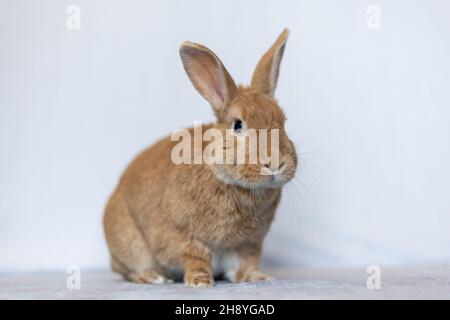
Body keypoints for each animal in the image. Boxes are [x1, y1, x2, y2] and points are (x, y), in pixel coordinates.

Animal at [103, 28, 298, 286]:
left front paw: (258, 278)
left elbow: (246, 263)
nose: (275, 163)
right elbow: (195, 256)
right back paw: (154, 276)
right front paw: (200, 281)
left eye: (283, 122)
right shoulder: (182, 234)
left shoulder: (249, 244)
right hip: (130, 245)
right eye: (237, 125)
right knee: (130, 270)